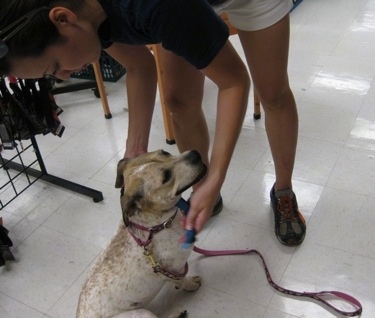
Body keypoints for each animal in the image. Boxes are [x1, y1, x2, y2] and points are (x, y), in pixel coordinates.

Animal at [75, 150, 207, 318]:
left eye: (165, 152)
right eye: (166, 177)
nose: (195, 153)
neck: (157, 226)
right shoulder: (175, 269)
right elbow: (182, 279)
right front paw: (191, 284)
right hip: (143, 313)